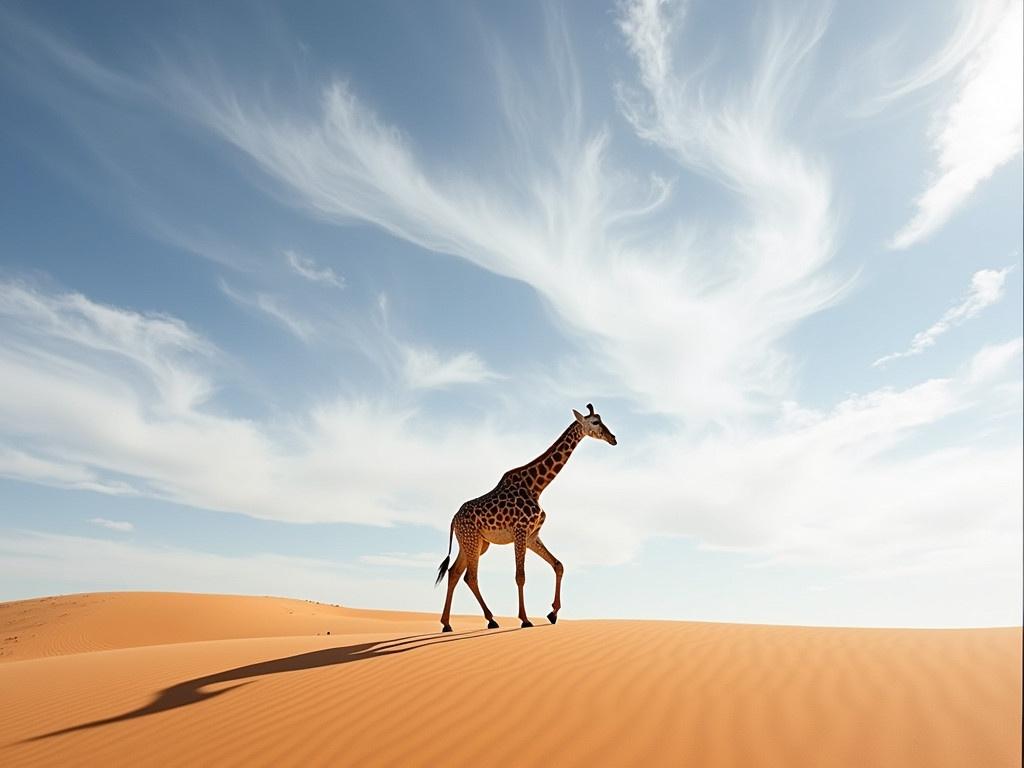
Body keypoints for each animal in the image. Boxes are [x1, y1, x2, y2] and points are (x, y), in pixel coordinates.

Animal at [434, 403, 614, 630]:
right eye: (595, 422)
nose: (613, 438)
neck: (537, 487)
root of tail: (453, 520)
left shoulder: (531, 535)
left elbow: (558, 565)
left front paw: (553, 613)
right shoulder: (520, 531)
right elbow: (520, 576)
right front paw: (525, 619)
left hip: (475, 543)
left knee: (454, 573)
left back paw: (447, 623)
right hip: (472, 540)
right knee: (470, 577)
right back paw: (490, 620)